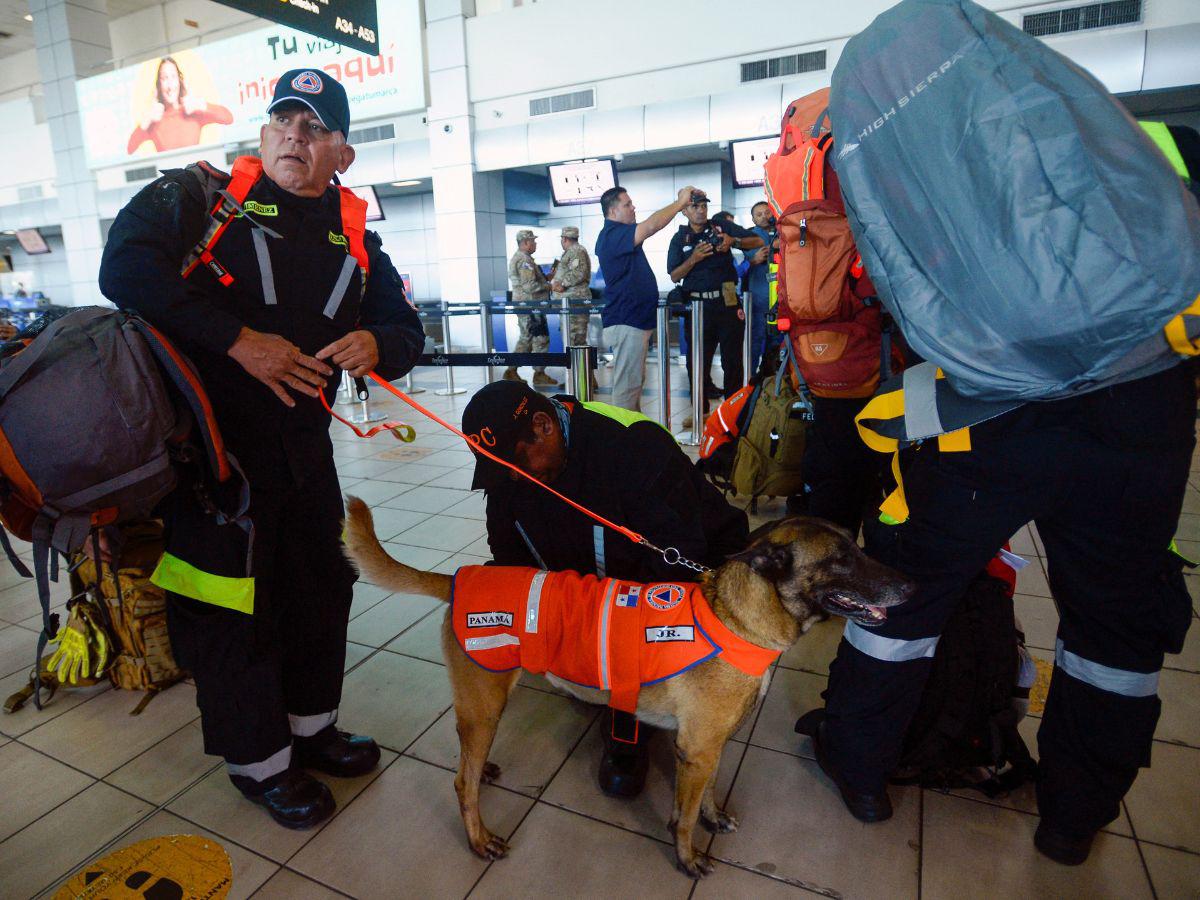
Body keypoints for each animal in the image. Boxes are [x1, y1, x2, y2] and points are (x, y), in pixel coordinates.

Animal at [343, 496, 912, 878]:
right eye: (841, 558)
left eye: (856, 547)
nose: (911, 585)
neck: (739, 617)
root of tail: (460, 579)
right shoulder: (697, 749)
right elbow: (682, 818)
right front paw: (687, 858)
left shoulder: (711, 747)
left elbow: (706, 797)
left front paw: (713, 819)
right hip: (485, 703)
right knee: (461, 783)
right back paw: (479, 838)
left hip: (482, 705)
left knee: (466, 756)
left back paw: (484, 769)